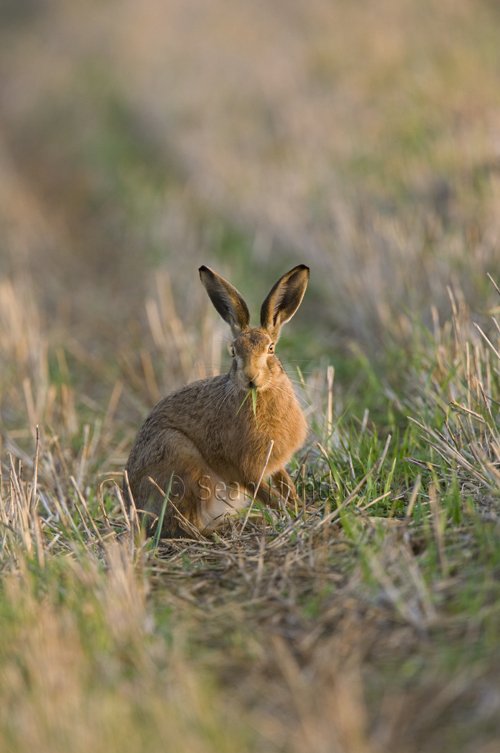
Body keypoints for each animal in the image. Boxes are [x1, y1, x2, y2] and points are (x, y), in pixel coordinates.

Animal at [123, 263, 310, 538]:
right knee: (189, 526)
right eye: (233, 351)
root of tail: (136, 515)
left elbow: (286, 486)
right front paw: (294, 515)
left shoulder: (274, 465)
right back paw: (246, 524)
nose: (250, 377)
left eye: (271, 349)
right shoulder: (246, 471)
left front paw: (303, 508)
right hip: (184, 465)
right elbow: (269, 495)